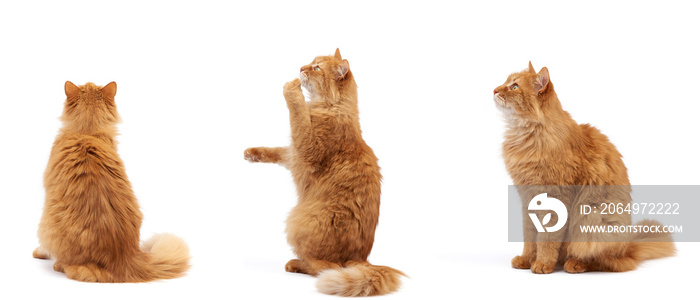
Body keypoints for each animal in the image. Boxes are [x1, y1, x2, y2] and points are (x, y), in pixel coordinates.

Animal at [245, 48, 402, 296]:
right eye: (310, 62)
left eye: (317, 67)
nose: (301, 68)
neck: (331, 107)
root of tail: (362, 259)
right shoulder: (293, 155)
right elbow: (275, 152)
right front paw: (251, 154)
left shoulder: (307, 151)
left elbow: (298, 116)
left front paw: (292, 90)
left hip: (297, 223)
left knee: (325, 267)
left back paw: (295, 264)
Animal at [494, 62, 676, 274]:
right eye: (506, 82)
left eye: (514, 86)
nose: (494, 90)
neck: (526, 135)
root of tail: (628, 248)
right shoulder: (528, 199)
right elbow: (530, 236)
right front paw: (526, 259)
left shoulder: (556, 196)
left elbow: (547, 238)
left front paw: (542, 263)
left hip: (590, 218)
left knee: (602, 260)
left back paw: (574, 264)